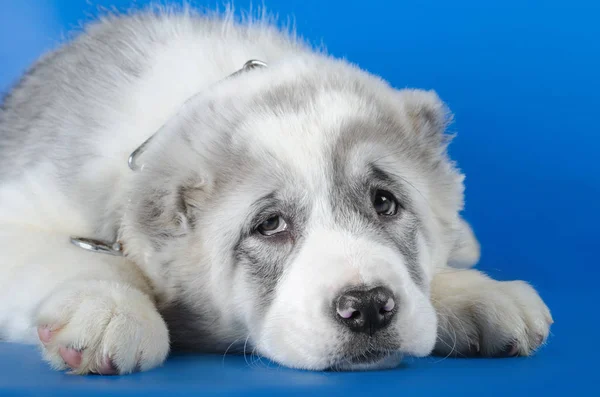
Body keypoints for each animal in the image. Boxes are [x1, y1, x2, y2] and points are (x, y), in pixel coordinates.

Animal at [0, 9, 552, 374]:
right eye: (270, 225)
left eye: (384, 202)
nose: (369, 306)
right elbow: (88, 256)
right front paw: (109, 307)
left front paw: (474, 292)